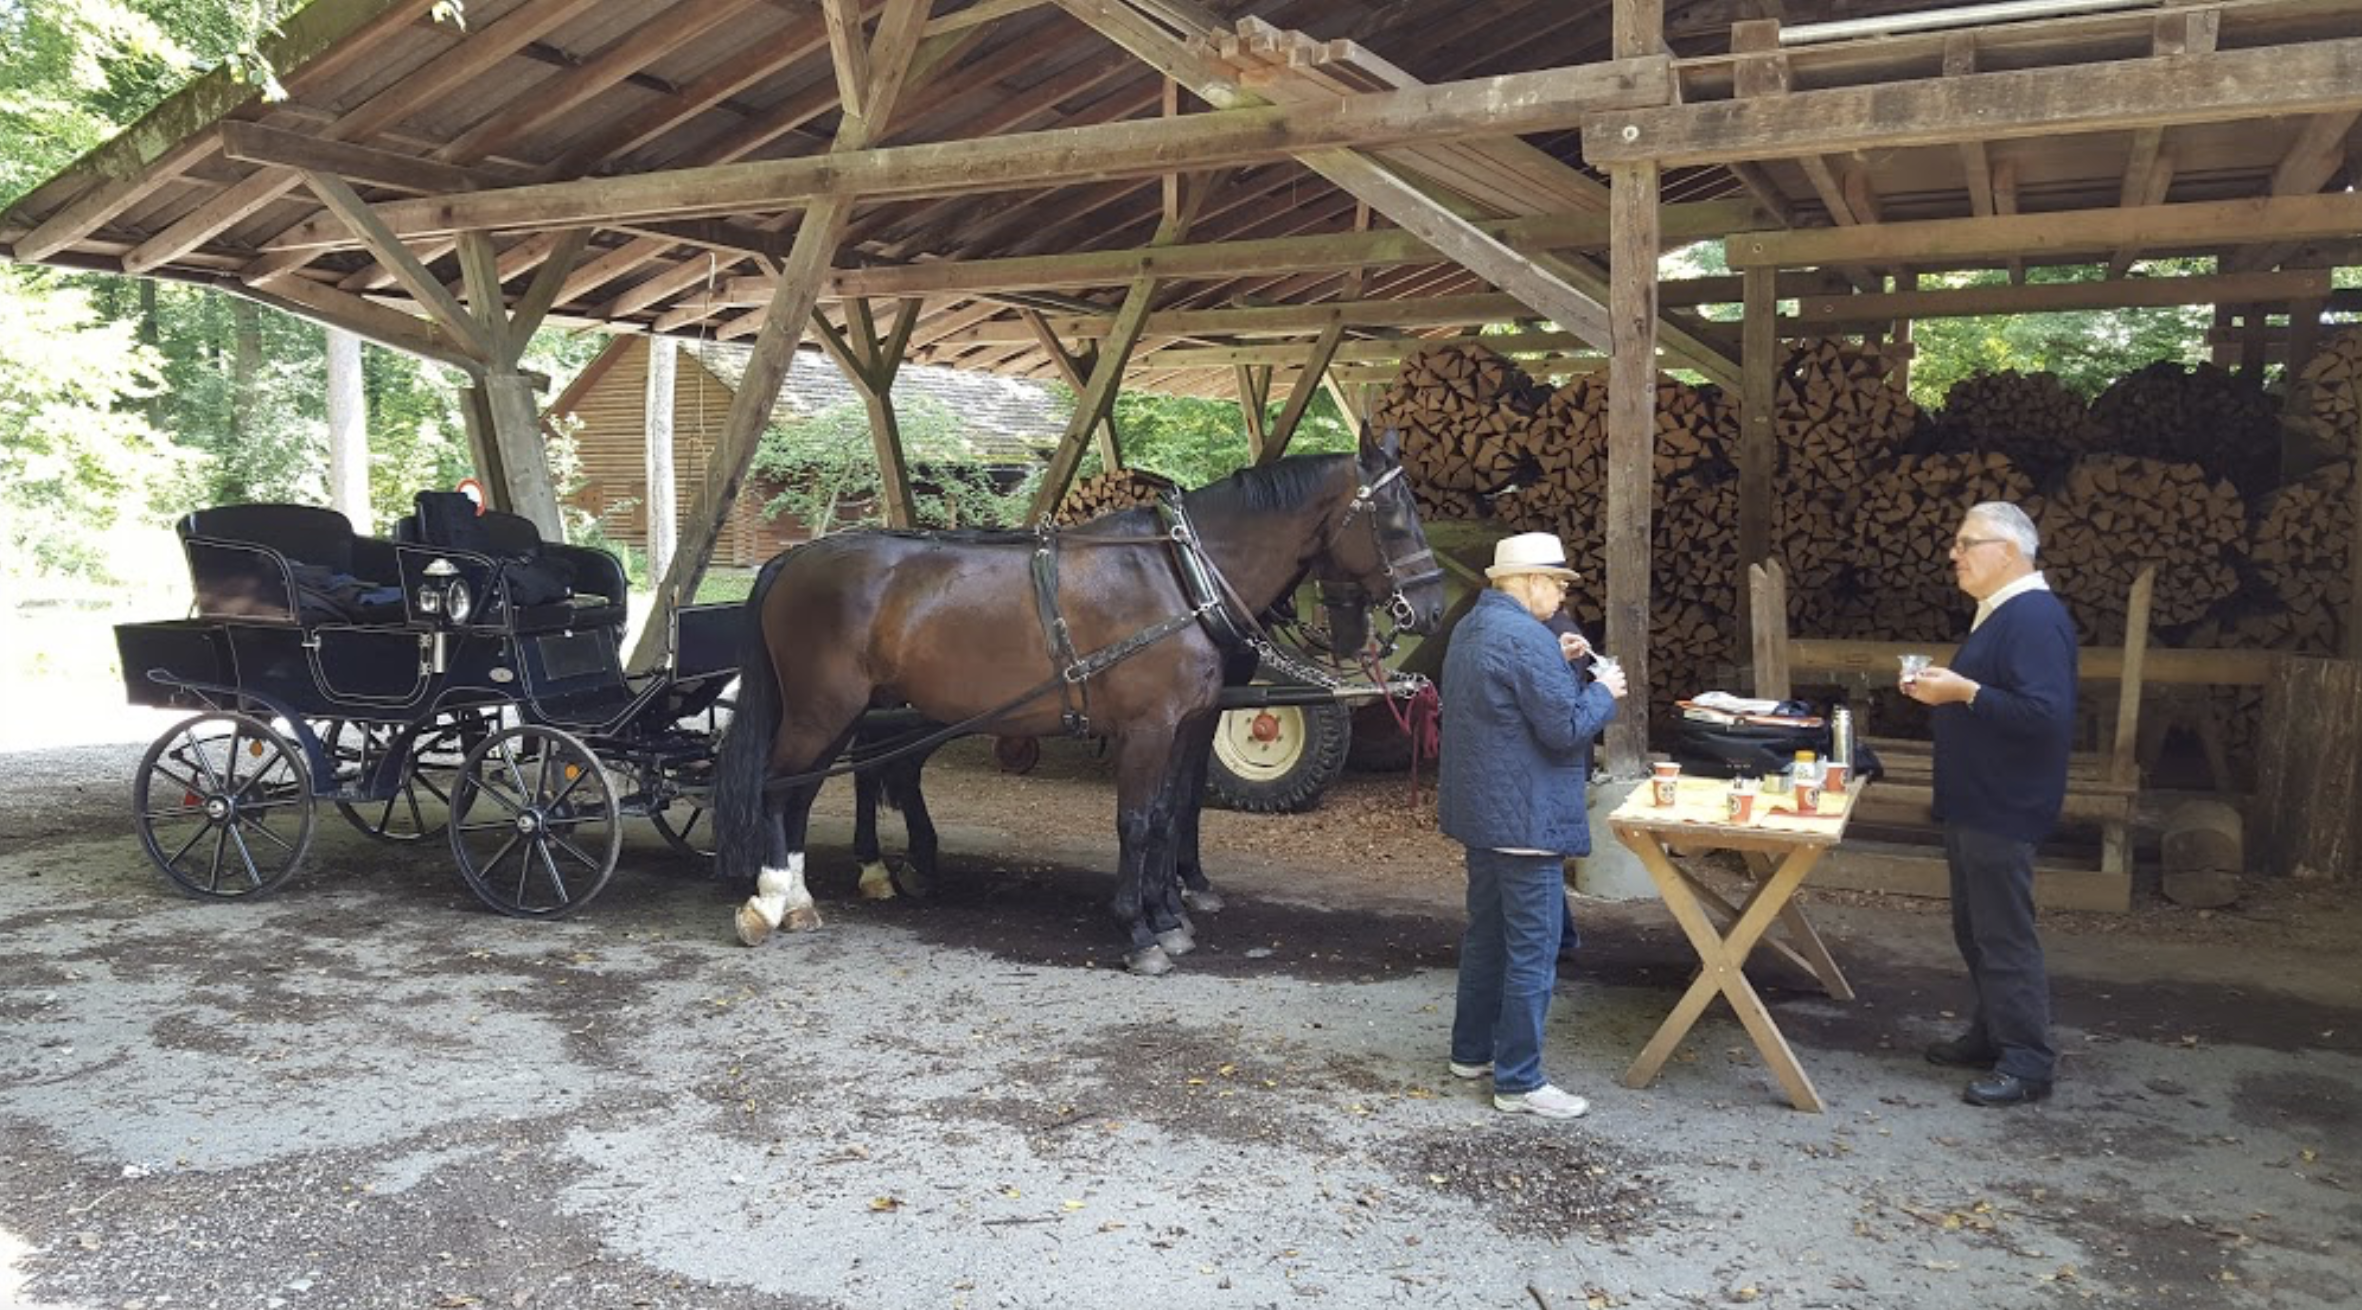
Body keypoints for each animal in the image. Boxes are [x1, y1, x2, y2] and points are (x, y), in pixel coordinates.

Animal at [703, 434, 1436, 972]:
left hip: (853, 711)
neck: (1180, 577)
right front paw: (1141, 932)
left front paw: (1171, 913)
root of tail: (794, 560)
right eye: (1395, 517)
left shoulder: (1185, 724)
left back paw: (808, 896)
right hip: (821, 708)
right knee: (777, 786)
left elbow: (1170, 814)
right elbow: (1139, 822)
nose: (1425, 609)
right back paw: (771, 900)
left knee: (811, 789)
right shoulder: (1149, 728)